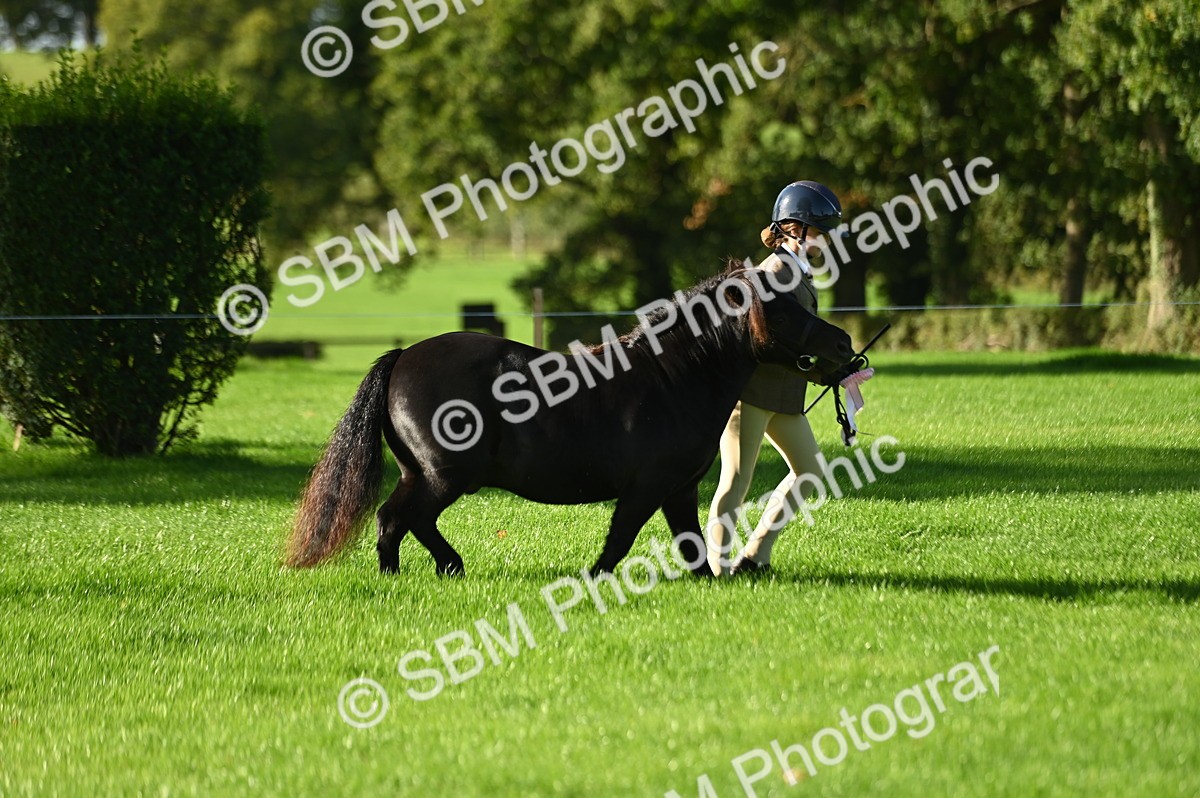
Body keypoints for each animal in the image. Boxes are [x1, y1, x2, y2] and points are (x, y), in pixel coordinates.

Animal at [284, 265, 856, 578]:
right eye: (783, 310)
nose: (844, 345)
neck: (675, 376)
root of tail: (403, 357)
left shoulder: (678, 490)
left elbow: (691, 545)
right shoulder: (646, 488)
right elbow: (621, 539)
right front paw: (594, 578)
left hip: (424, 474)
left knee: (403, 520)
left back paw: (429, 571)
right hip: (443, 476)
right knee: (399, 519)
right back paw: (420, 573)